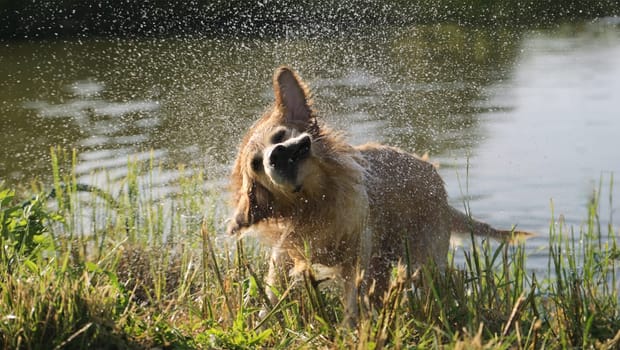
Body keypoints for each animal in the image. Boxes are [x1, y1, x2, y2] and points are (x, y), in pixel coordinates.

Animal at [225, 65, 524, 322]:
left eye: (279, 136)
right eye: (255, 165)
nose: (276, 155)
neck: (317, 203)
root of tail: (441, 190)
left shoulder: (357, 256)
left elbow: (352, 300)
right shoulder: (288, 250)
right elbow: (272, 291)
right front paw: (263, 319)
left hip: (424, 257)